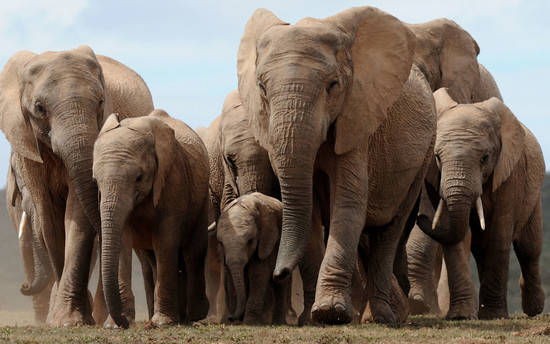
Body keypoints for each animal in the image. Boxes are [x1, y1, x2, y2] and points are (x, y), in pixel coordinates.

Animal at [0, 46, 154, 328]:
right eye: (39, 108)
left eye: (102, 102)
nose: (23, 286)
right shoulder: (27, 147)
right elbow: (49, 221)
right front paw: (67, 319)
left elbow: (77, 215)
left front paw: (69, 320)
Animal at [92, 109, 211, 328]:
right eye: (96, 181)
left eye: (139, 177)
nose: (125, 322)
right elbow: (122, 241)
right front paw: (113, 325)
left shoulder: (173, 179)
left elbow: (166, 239)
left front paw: (163, 322)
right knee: (154, 258)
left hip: (201, 201)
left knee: (194, 251)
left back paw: (194, 315)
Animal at [218, 194, 292, 326]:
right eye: (221, 243)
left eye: (250, 241)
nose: (230, 318)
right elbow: (232, 275)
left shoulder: (266, 238)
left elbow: (258, 273)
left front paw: (250, 322)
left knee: (279, 284)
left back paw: (278, 323)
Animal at [239, 6, 438, 324]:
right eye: (262, 89)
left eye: (332, 86)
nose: (279, 274)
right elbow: (309, 212)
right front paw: (311, 319)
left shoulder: (357, 119)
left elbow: (348, 205)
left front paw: (330, 313)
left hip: (424, 153)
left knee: (389, 231)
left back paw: (381, 318)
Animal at [418, 88, 548, 320]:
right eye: (437, 157)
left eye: (485, 158)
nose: (420, 217)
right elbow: (457, 237)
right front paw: (460, 316)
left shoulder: (510, 175)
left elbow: (499, 235)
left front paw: (493, 315)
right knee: (481, 250)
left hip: (533, 195)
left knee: (529, 248)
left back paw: (533, 310)